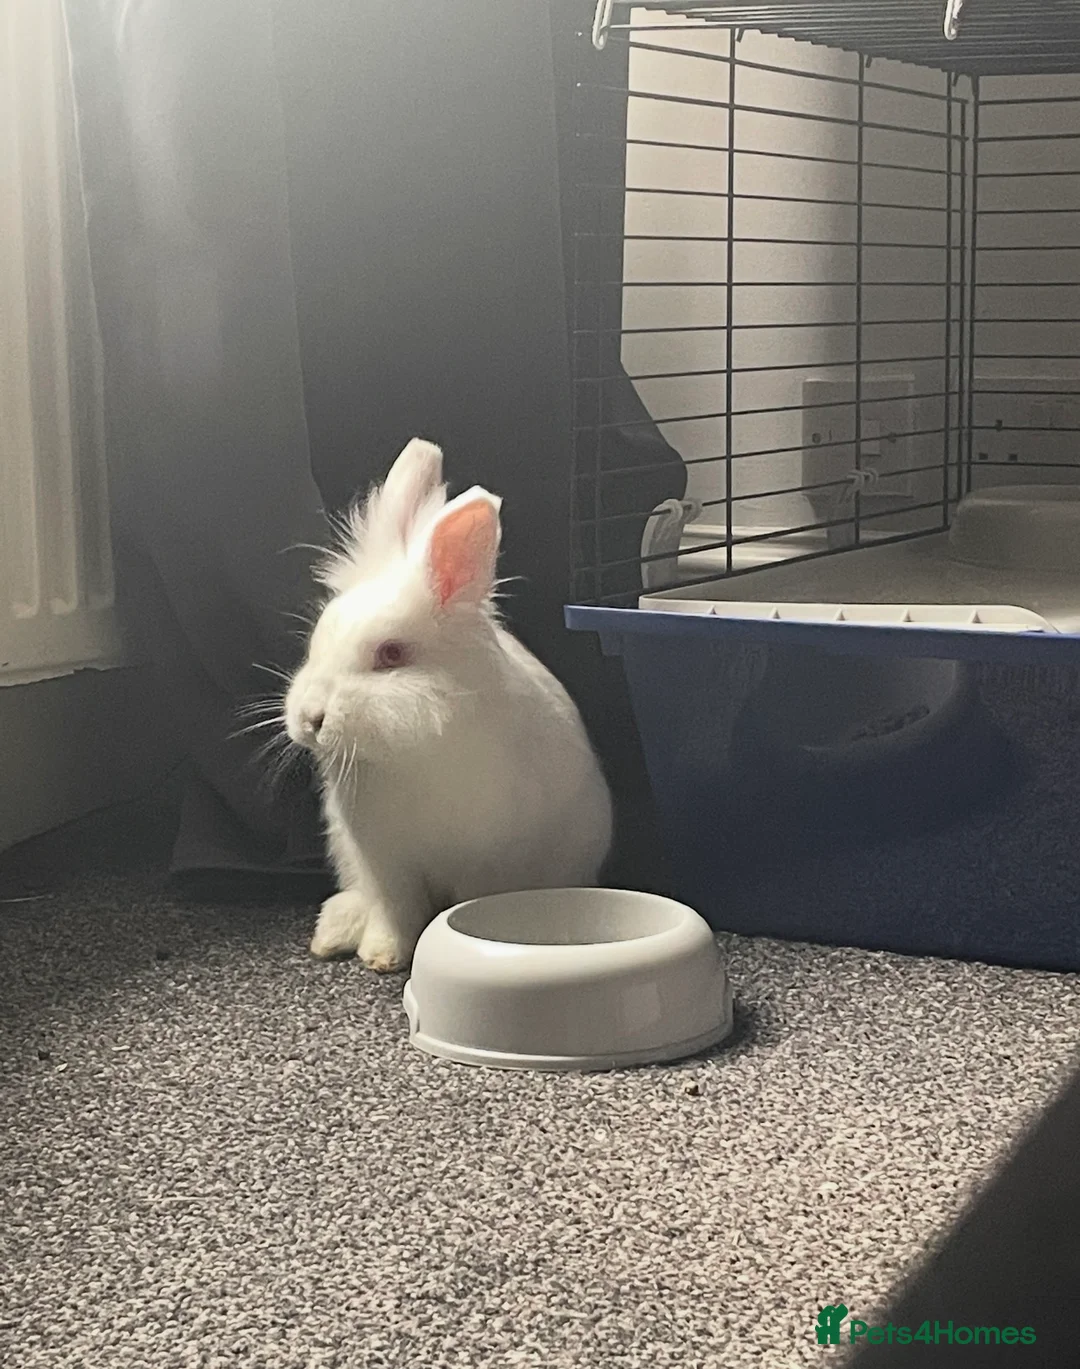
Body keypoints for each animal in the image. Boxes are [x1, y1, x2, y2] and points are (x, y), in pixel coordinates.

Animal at [284, 437, 613, 971]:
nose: (310, 720)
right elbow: (394, 910)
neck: (414, 752)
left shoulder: (485, 858)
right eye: (319, 637)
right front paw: (382, 956)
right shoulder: (383, 860)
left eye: (391, 654)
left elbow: (463, 904)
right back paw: (334, 934)